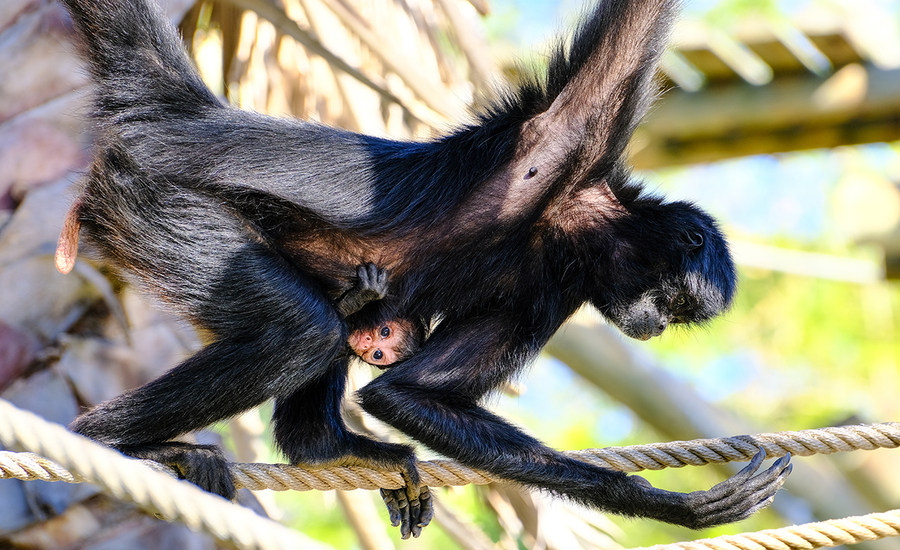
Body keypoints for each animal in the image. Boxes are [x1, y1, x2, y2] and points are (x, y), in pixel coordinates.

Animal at [56, 0, 792, 540]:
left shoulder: (546, 293)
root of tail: (188, 120)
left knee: (339, 314)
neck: (564, 223)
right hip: (155, 201)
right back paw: (109, 445)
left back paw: (327, 447)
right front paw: (670, 503)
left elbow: (409, 393)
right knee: (301, 330)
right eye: (673, 303)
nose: (655, 327)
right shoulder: (570, 134)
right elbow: (632, 30)